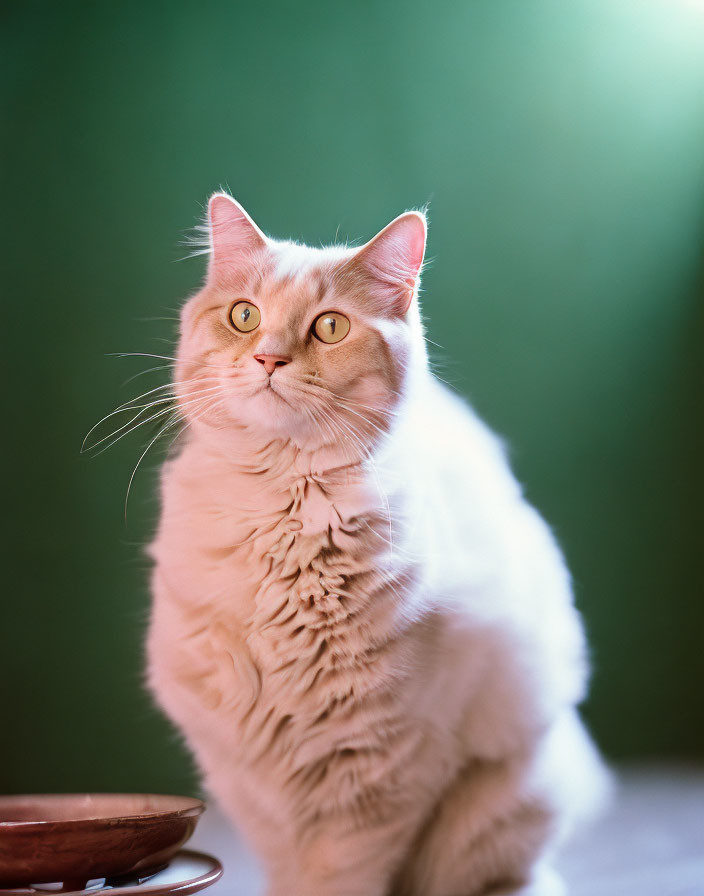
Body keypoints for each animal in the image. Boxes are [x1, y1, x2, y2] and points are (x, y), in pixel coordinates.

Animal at [147, 192, 612, 892]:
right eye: (244, 316)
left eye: (330, 328)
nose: (268, 360)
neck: (282, 522)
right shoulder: (248, 775)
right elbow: (290, 870)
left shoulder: (373, 773)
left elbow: (339, 877)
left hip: (501, 810)